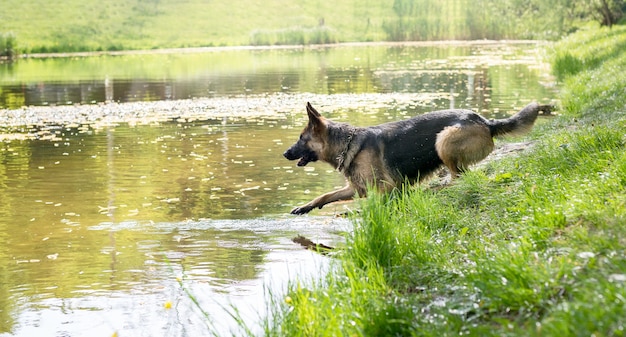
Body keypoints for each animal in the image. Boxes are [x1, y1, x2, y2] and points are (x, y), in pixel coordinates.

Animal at [282, 101, 552, 214]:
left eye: (301, 138)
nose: (285, 153)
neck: (347, 142)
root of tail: (486, 121)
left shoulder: (385, 187)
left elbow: (376, 203)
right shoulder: (356, 188)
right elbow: (325, 195)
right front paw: (305, 207)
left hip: (443, 140)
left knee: (459, 178)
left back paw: (437, 190)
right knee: (461, 176)